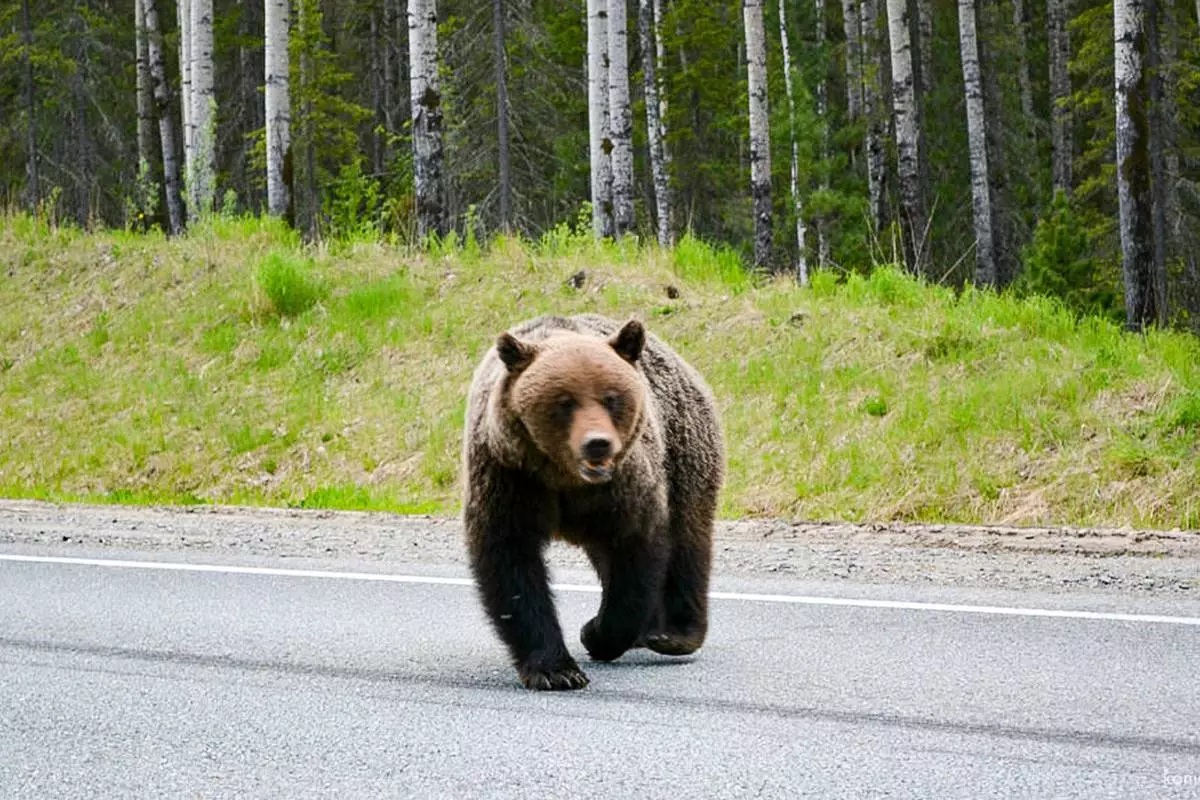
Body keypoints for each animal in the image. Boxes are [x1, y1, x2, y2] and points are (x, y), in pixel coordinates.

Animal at [458, 311, 720, 690]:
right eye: (564, 401)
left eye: (611, 397)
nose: (598, 443)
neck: (566, 478)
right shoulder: (509, 475)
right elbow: (510, 560)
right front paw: (556, 669)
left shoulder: (624, 486)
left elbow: (637, 552)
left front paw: (596, 632)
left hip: (685, 453)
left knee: (688, 539)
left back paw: (673, 634)